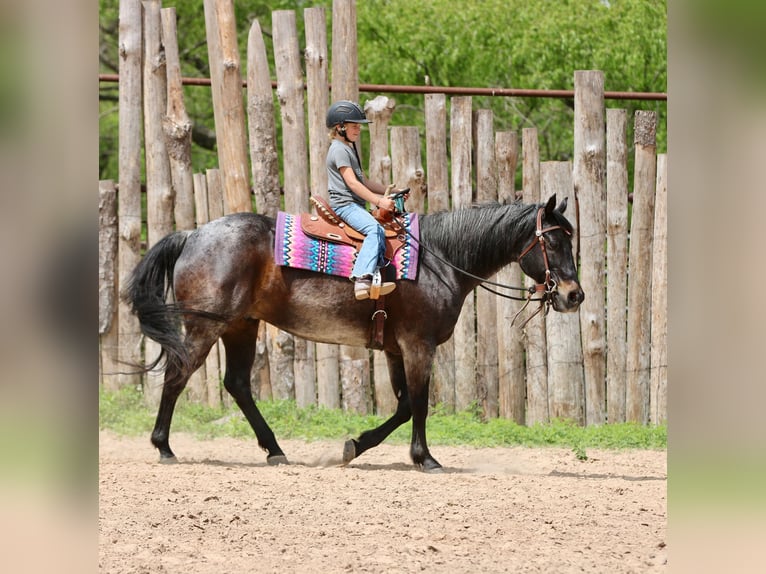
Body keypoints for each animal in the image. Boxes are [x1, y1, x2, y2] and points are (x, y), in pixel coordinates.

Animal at [123, 194, 584, 472]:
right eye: (553, 243)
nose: (574, 295)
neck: (439, 259)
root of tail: (193, 234)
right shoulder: (418, 346)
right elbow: (419, 404)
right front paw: (425, 458)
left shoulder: (396, 349)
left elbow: (403, 407)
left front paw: (355, 446)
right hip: (206, 326)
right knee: (177, 375)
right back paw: (164, 446)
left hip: (241, 326)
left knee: (237, 384)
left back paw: (275, 449)